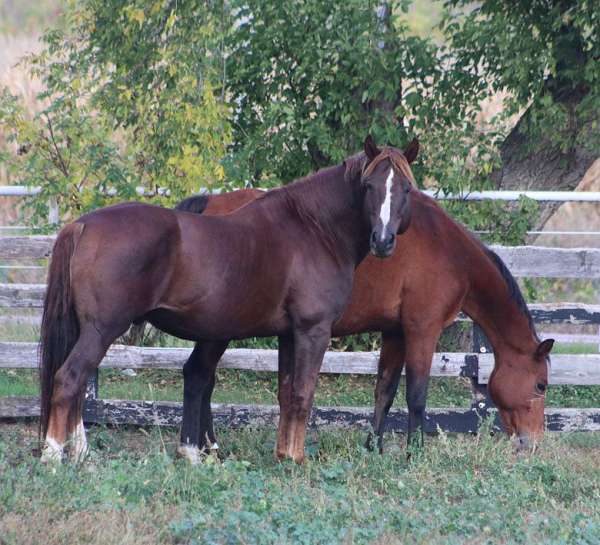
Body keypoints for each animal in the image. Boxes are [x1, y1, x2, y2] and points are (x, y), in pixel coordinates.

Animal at [38, 134, 418, 462]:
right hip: (102, 330)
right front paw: (296, 459)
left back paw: (82, 454)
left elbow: (286, 394)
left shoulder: (288, 334)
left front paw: (283, 455)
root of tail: (82, 225)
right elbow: (302, 394)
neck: (314, 229)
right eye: (369, 186)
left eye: (406, 188)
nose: (383, 241)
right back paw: (53, 457)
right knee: (69, 379)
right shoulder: (313, 331)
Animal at [178, 176, 552, 452]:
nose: (532, 443)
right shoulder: (422, 329)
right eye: (541, 385)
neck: (449, 251)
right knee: (199, 376)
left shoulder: (395, 332)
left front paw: (374, 447)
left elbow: (384, 392)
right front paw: (414, 453)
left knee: (205, 379)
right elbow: (416, 395)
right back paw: (206, 447)